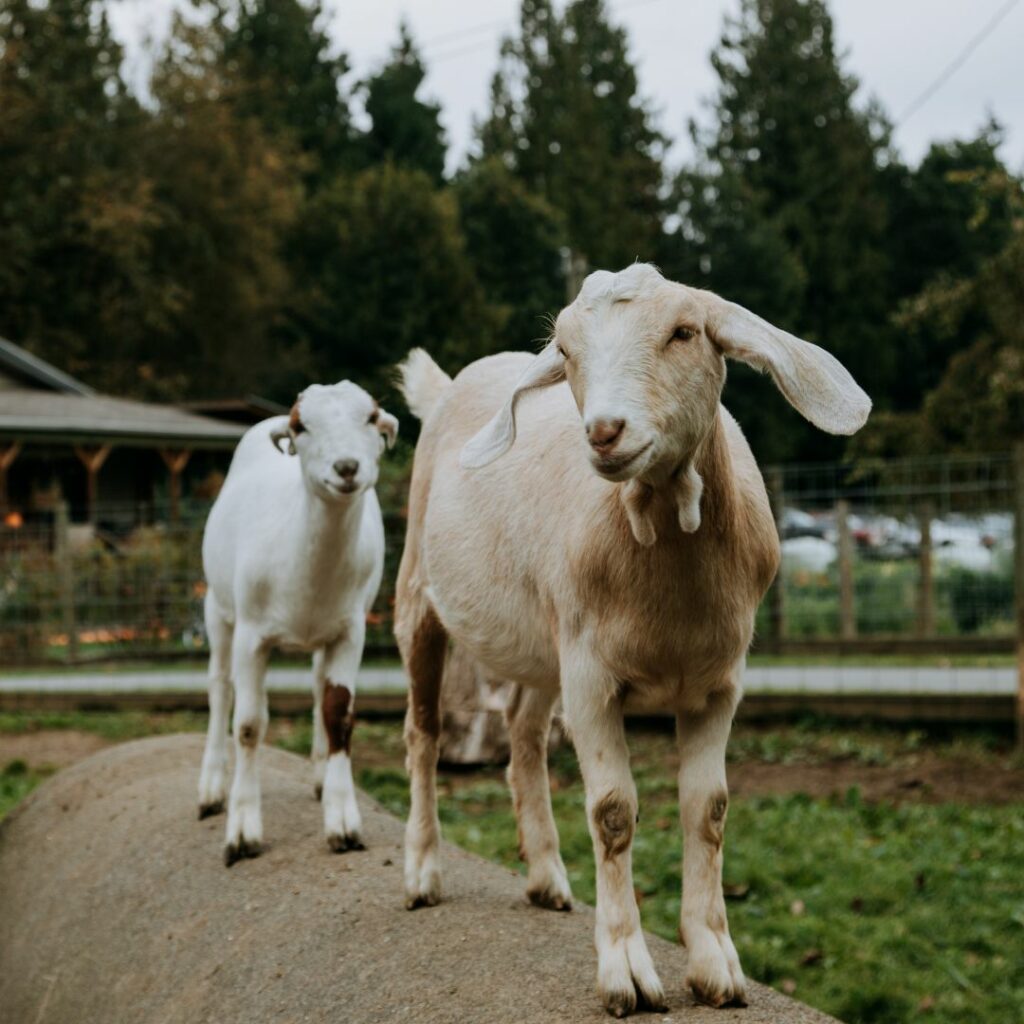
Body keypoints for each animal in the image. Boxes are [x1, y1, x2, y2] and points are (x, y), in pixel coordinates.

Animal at [195, 382, 395, 864]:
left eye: (371, 418)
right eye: (302, 426)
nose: (347, 467)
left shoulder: (351, 630)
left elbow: (339, 713)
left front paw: (343, 823)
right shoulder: (252, 634)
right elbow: (249, 724)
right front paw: (242, 832)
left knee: (319, 687)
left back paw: (321, 776)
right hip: (218, 608)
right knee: (219, 687)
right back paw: (211, 790)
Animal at [395, 264, 868, 1015]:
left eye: (684, 332)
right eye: (565, 349)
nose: (605, 431)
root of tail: (446, 388)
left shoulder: (719, 682)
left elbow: (708, 810)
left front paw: (716, 965)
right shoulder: (592, 678)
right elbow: (613, 812)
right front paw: (627, 972)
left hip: (544, 642)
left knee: (523, 735)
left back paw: (546, 877)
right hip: (419, 590)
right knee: (422, 732)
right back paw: (422, 873)